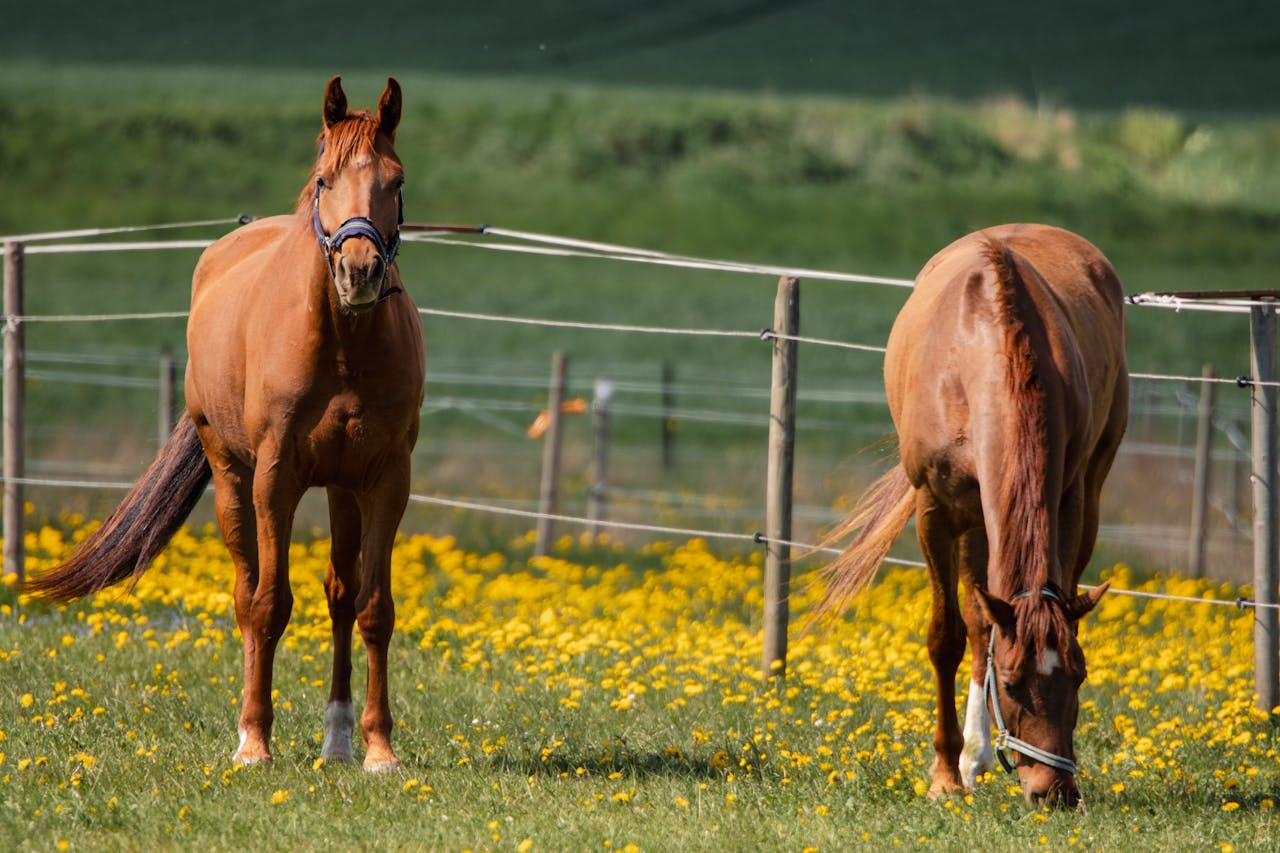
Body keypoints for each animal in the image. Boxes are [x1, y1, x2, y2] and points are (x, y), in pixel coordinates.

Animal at [26, 76, 425, 771]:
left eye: (395, 182)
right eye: (324, 180)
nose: (359, 273)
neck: (343, 346)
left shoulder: (385, 480)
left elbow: (374, 608)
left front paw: (379, 750)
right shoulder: (274, 479)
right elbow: (268, 604)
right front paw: (256, 743)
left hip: (343, 489)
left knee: (341, 595)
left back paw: (338, 740)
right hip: (232, 477)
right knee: (246, 593)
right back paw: (250, 732)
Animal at [814, 223, 1128, 808]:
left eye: (1079, 676)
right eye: (1011, 684)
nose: (1053, 791)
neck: (979, 352)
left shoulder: (1066, 501)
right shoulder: (935, 512)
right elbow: (947, 638)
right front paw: (944, 776)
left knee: (991, 621)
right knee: (980, 627)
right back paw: (968, 760)